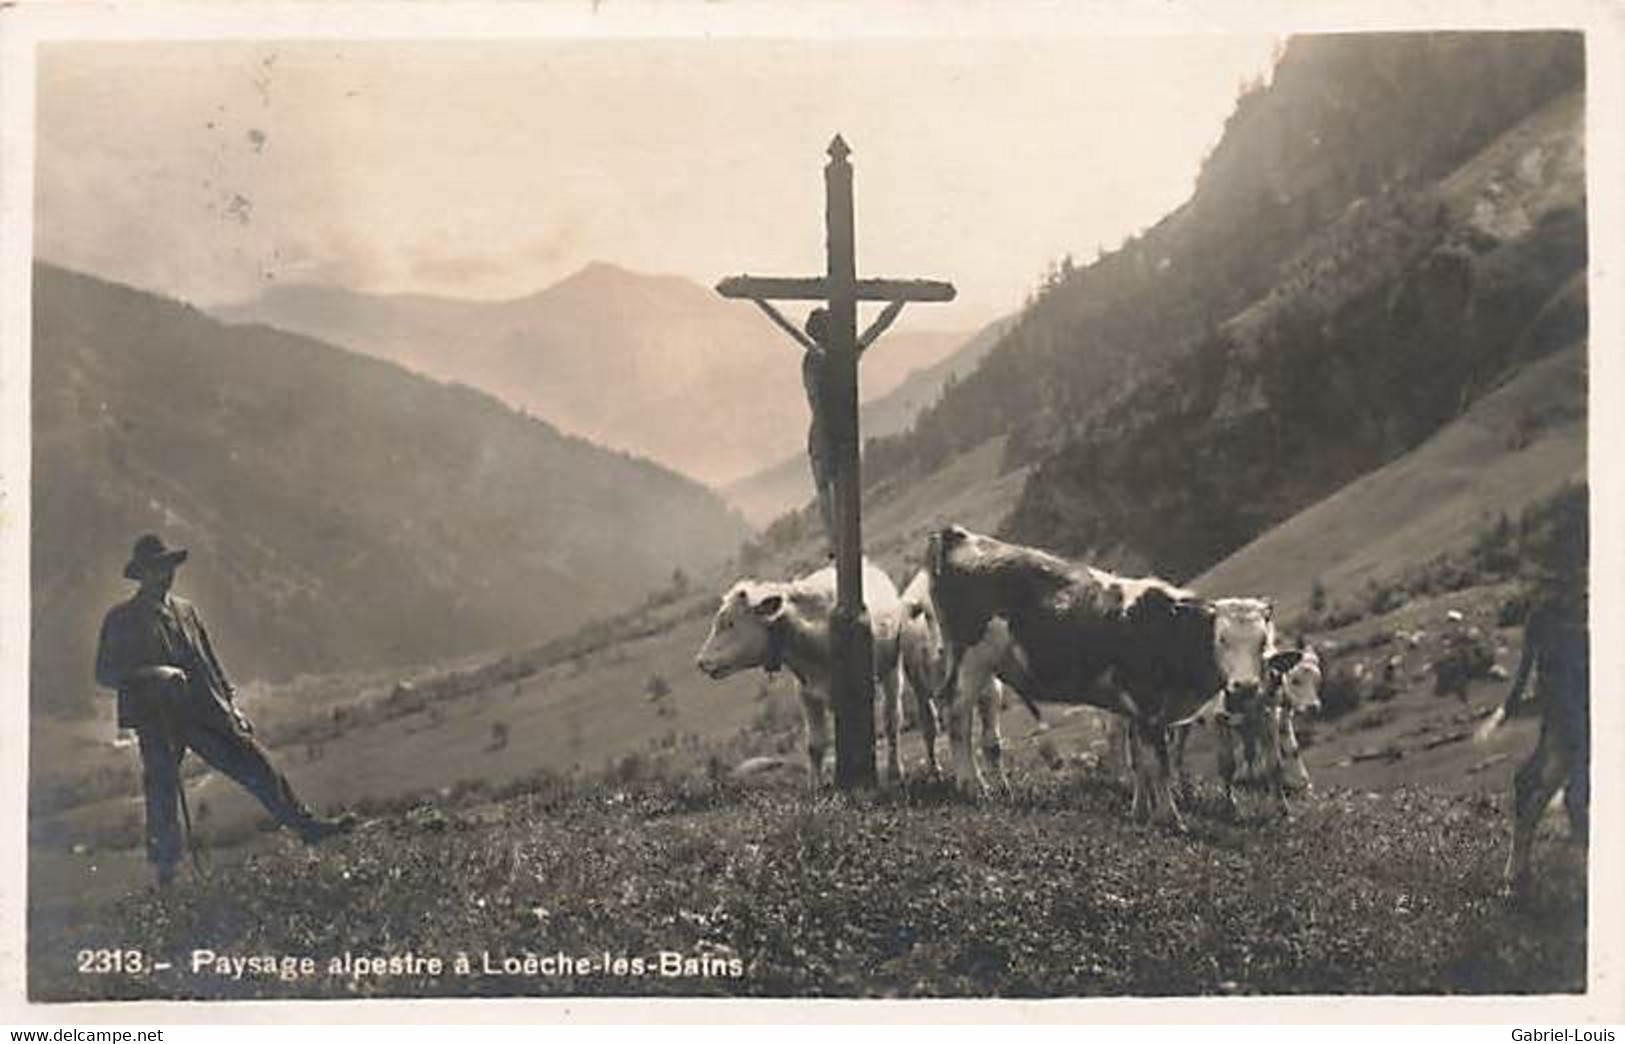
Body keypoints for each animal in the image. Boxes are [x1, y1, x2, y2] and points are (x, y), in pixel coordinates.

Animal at [692, 556, 910, 783]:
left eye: (730, 623)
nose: (701, 661)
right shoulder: (806, 693)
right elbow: (815, 745)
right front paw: (815, 785)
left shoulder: (856, 690)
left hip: (893, 670)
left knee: (892, 720)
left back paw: (895, 770)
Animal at [923, 523, 1274, 826]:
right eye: (1222, 639)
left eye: (1262, 642)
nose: (1245, 686)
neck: (1170, 627)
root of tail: (960, 535)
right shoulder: (1147, 702)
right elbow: (1158, 764)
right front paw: (1170, 818)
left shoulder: (1135, 709)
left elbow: (1139, 763)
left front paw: (1140, 812)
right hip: (971, 657)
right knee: (957, 715)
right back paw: (972, 787)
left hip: (982, 666)